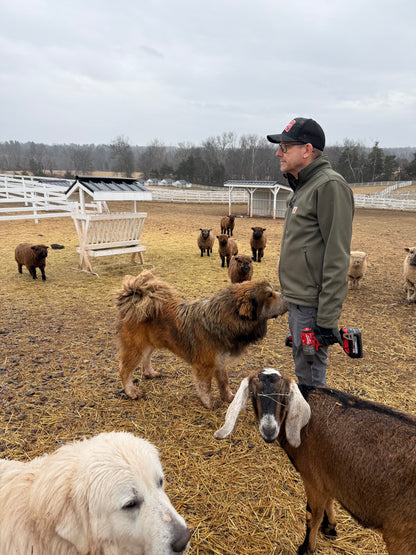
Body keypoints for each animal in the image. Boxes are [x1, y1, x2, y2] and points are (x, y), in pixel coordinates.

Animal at [115, 270, 288, 408]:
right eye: (269, 295)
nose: (289, 298)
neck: (224, 320)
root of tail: (134, 297)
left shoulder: (220, 361)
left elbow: (224, 382)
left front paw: (228, 397)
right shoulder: (203, 365)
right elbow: (205, 386)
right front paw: (209, 402)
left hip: (149, 344)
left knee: (146, 359)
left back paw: (149, 373)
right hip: (135, 348)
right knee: (124, 371)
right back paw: (131, 391)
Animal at [216, 370, 416, 555]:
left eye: (285, 395)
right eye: (253, 394)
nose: (269, 429)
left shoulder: (312, 478)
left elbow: (312, 515)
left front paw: (306, 548)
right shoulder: (327, 474)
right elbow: (329, 502)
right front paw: (330, 527)